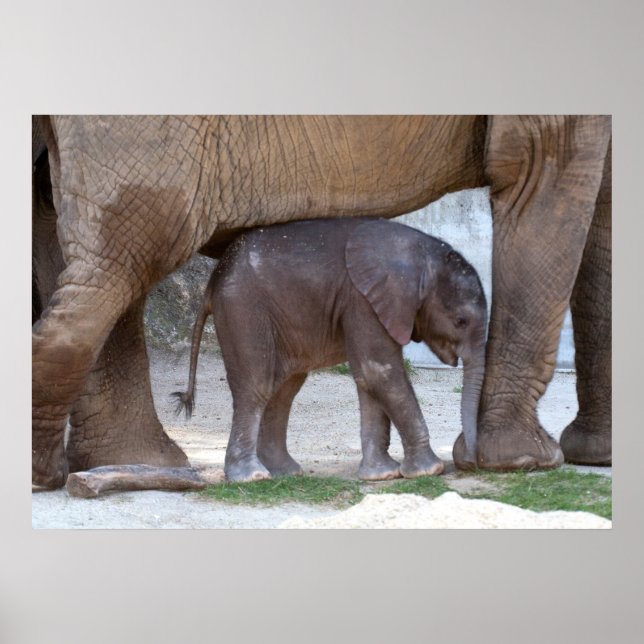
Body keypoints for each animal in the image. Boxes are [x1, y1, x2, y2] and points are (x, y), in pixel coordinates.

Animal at [172, 218, 487, 482]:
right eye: (460, 321)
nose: (469, 459)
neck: (420, 254)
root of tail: (212, 282)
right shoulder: (362, 300)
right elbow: (379, 372)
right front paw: (428, 471)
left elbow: (368, 379)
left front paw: (381, 475)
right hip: (243, 309)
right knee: (257, 386)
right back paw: (252, 477)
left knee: (284, 390)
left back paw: (286, 472)